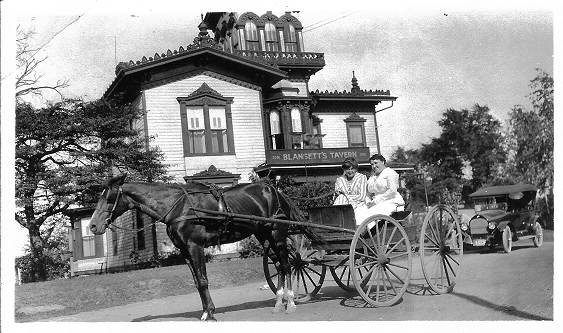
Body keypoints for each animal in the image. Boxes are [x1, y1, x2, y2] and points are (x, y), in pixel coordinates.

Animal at [88, 172, 300, 320]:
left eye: (109, 198)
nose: (93, 226)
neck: (177, 207)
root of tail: (276, 192)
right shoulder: (185, 251)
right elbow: (198, 282)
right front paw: (206, 311)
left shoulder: (195, 246)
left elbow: (204, 280)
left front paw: (210, 313)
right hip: (264, 237)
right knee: (279, 265)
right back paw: (279, 303)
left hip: (277, 235)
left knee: (287, 265)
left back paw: (290, 302)